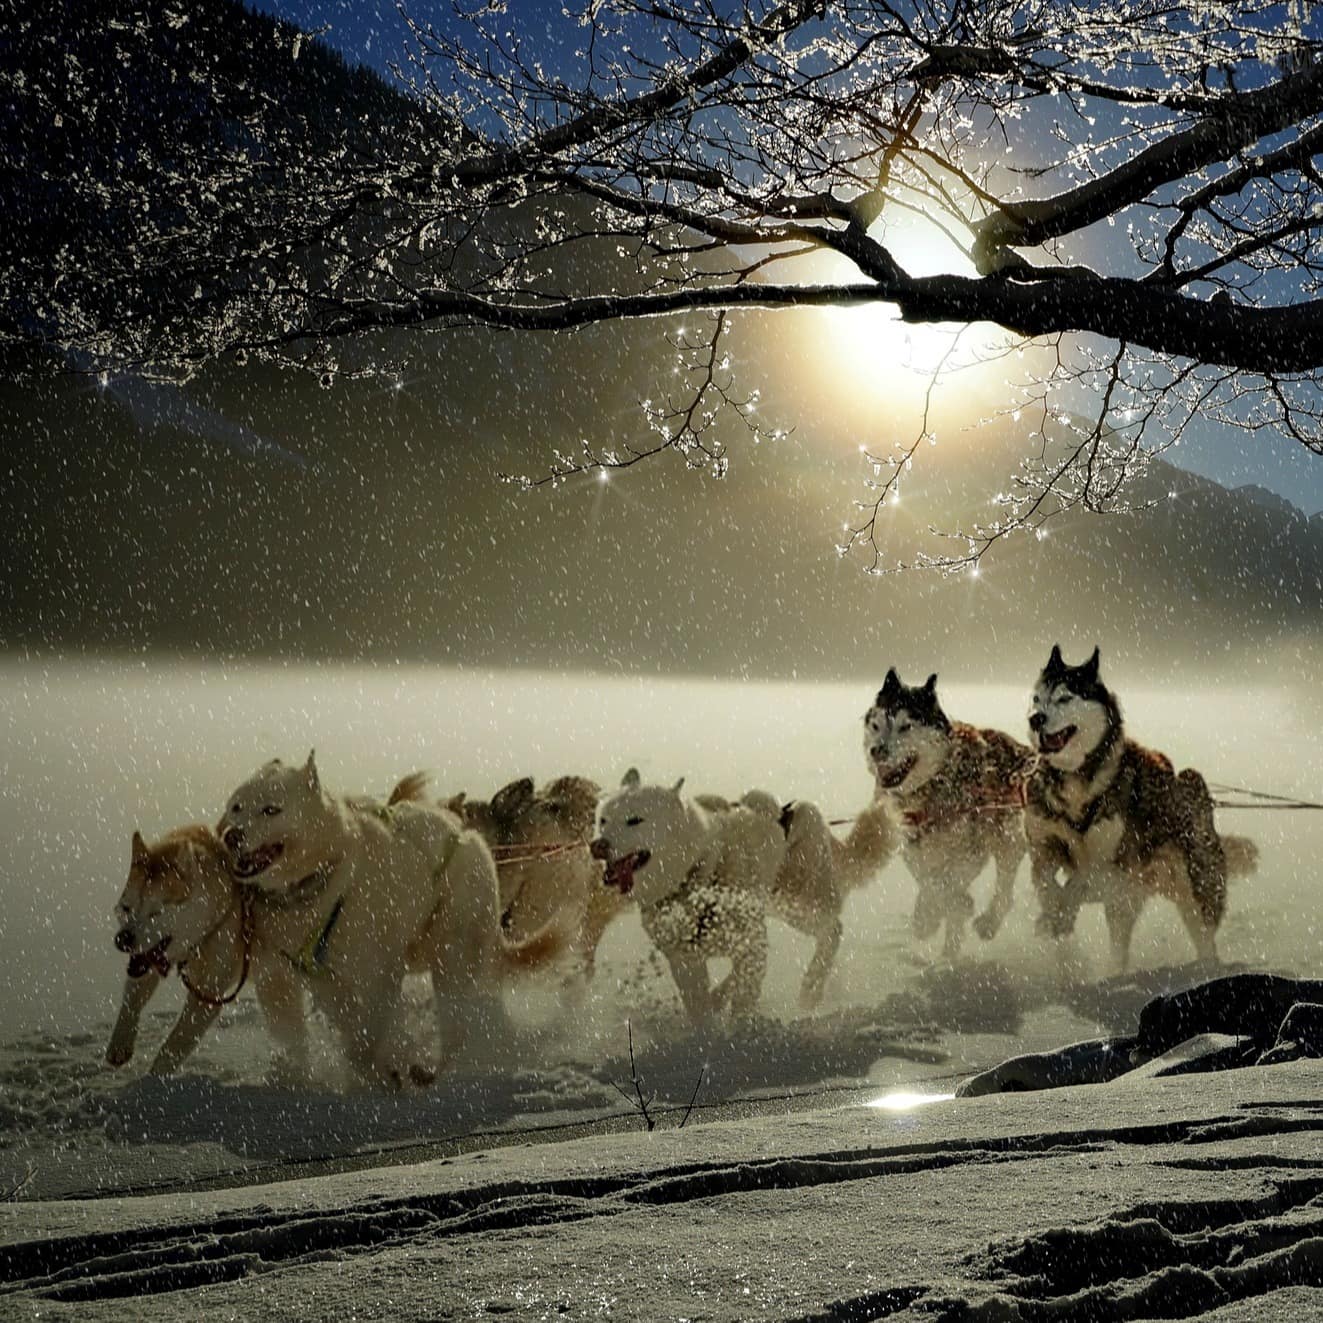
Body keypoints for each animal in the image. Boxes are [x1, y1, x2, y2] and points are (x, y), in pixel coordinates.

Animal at [590, 772, 783, 1016]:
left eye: (634, 820)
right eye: (603, 821)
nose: (597, 845)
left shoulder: (751, 945)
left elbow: (742, 995)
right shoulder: (685, 962)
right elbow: (700, 1009)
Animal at [862, 677, 1037, 957]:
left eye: (906, 726)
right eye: (876, 725)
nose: (877, 750)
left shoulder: (971, 846)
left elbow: (948, 885)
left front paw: (941, 910)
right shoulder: (913, 845)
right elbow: (929, 881)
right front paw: (929, 915)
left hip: (1009, 836)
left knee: (1005, 889)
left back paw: (987, 923)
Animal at [1021, 642, 1259, 968]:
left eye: (1065, 697)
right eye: (1036, 698)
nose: (1036, 718)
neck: (1077, 788)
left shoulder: (1117, 866)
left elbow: (1079, 881)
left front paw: (1062, 912)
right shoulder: (1043, 845)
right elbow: (1044, 881)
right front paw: (1052, 915)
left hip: (1197, 891)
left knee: (1205, 939)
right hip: (1128, 904)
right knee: (1119, 947)